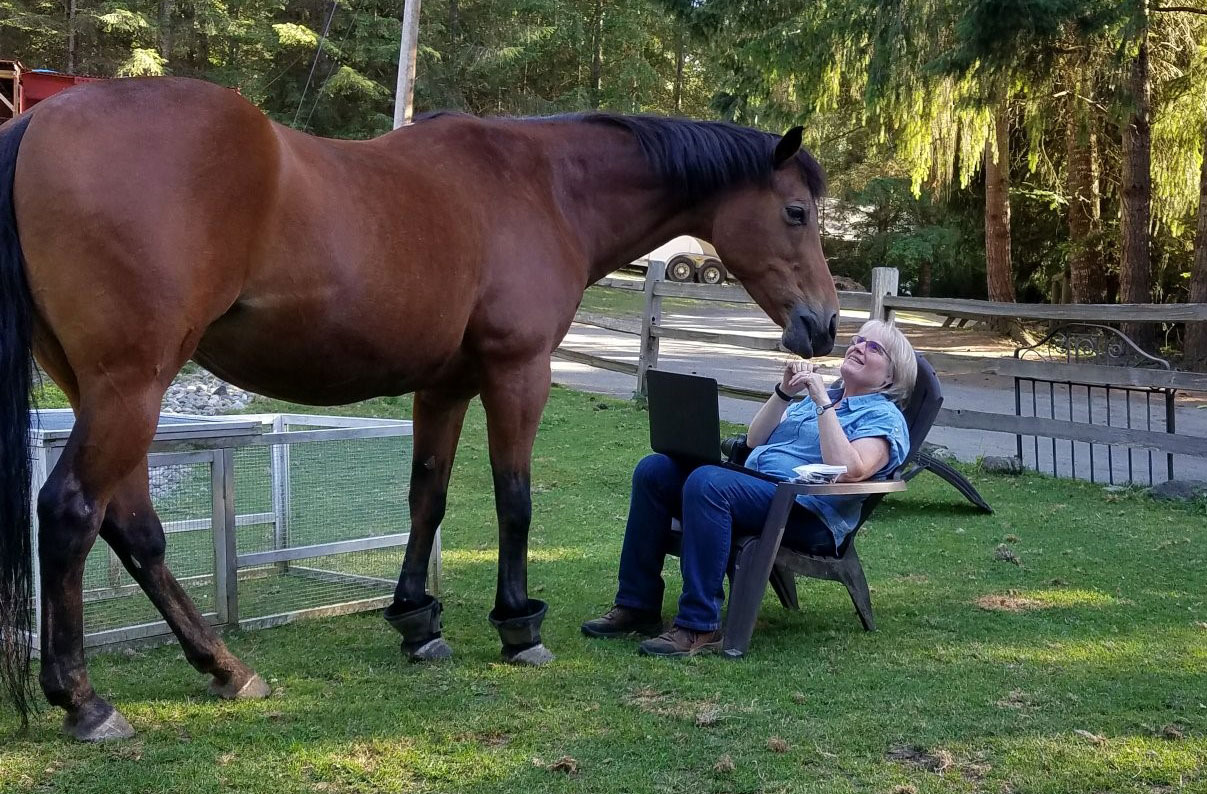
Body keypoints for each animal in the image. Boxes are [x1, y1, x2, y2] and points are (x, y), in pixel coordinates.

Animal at [0, 77, 830, 738]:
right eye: (795, 212)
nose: (821, 325)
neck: (545, 186)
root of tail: (41, 121)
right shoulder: (517, 374)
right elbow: (513, 500)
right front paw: (518, 626)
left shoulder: (444, 387)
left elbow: (425, 498)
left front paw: (416, 623)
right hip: (132, 386)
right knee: (72, 514)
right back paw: (84, 700)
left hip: (104, 390)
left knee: (132, 528)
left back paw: (224, 668)